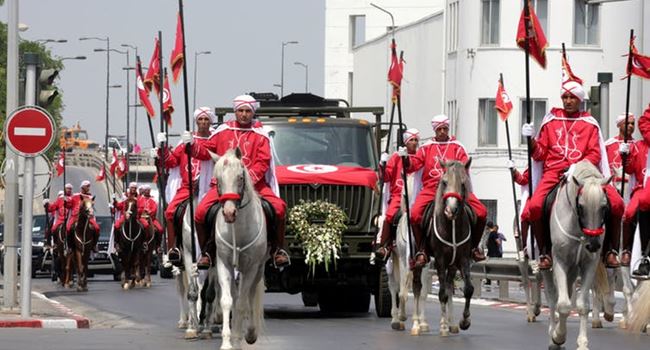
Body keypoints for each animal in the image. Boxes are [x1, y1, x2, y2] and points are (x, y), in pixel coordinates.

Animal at [210, 148, 266, 350]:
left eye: (240, 178)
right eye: (218, 179)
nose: (229, 213)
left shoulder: (251, 267)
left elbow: (242, 303)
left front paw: (239, 337)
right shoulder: (223, 264)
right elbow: (227, 301)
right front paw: (227, 342)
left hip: (258, 269)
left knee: (249, 295)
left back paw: (249, 332)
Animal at [540, 161, 612, 350]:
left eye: (604, 207)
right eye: (581, 206)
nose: (593, 245)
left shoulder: (589, 264)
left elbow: (582, 305)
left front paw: (582, 343)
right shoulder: (559, 262)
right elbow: (563, 305)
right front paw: (558, 336)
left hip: (573, 270)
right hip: (547, 267)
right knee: (552, 297)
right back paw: (552, 336)